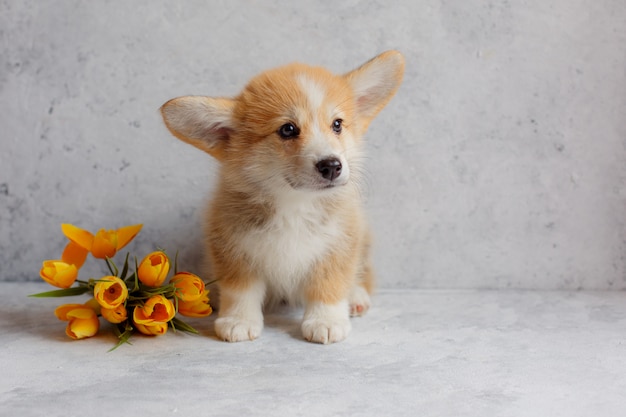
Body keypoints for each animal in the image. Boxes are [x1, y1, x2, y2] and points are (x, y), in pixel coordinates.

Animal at [161, 50, 404, 342]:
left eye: (337, 125)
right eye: (288, 129)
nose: (332, 166)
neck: (295, 203)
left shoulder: (339, 244)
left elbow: (330, 284)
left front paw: (326, 321)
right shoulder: (233, 248)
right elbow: (240, 290)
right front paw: (238, 320)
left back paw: (356, 297)